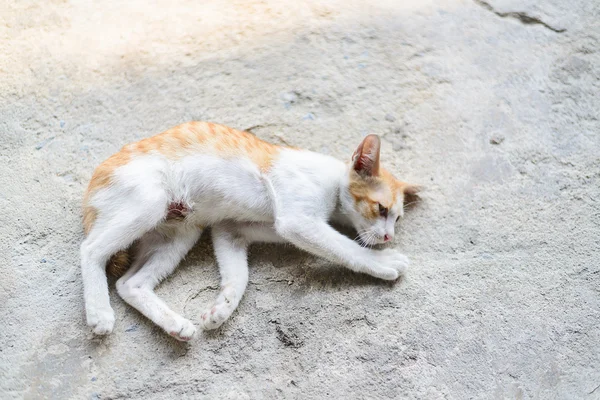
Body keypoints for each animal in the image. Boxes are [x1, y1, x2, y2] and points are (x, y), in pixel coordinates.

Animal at [79, 122, 420, 340]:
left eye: (397, 219)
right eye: (381, 209)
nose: (388, 236)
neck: (334, 185)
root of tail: (93, 184)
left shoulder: (229, 228)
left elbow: (238, 275)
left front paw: (222, 308)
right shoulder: (297, 221)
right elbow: (346, 249)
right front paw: (381, 262)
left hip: (181, 233)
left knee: (129, 284)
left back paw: (176, 325)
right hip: (150, 202)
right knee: (91, 250)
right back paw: (99, 313)